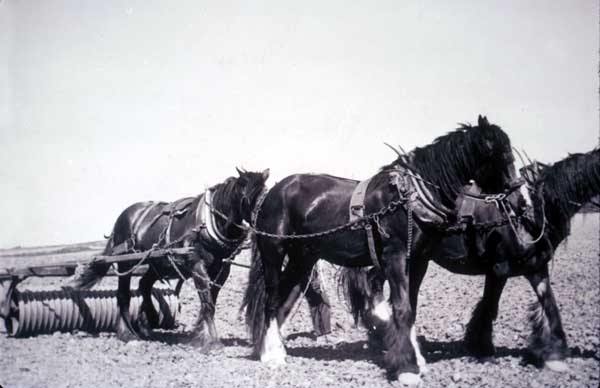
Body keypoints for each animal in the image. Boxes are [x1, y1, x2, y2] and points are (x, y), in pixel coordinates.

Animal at [67, 167, 270, 348]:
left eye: (265, 193)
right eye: (248, 196)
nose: (262, 220)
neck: (209, 223)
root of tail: (123, 217)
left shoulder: (222, 269)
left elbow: (210, 300)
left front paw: (199, 335)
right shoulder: (197, 265)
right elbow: (207, 302)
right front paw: (211, 342)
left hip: (158, 263)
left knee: (144, 285)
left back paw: (148, 322)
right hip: (127, 262)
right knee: (123, 294)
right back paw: (126, 333)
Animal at [246, 115, 524, 382]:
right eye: (501, 154)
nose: (520, 201)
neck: (410, 198)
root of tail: (274, 191)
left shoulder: (418, 261)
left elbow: (411, 306)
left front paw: (416, 359)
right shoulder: (395, 257)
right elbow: (401, 308)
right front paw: (407, 368)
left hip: (302, 258)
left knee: (283, 299)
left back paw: (274, 349)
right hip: (274, 252)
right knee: (271, 300)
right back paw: (271, 356)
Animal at [340, 147, 596, 372]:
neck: (529, 214)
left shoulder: (536, 267)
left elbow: (550, 304)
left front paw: (554, 353)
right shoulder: (499, 268)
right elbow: (489, 306)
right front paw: (482, 347)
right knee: (371, 281)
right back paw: (380, 328)